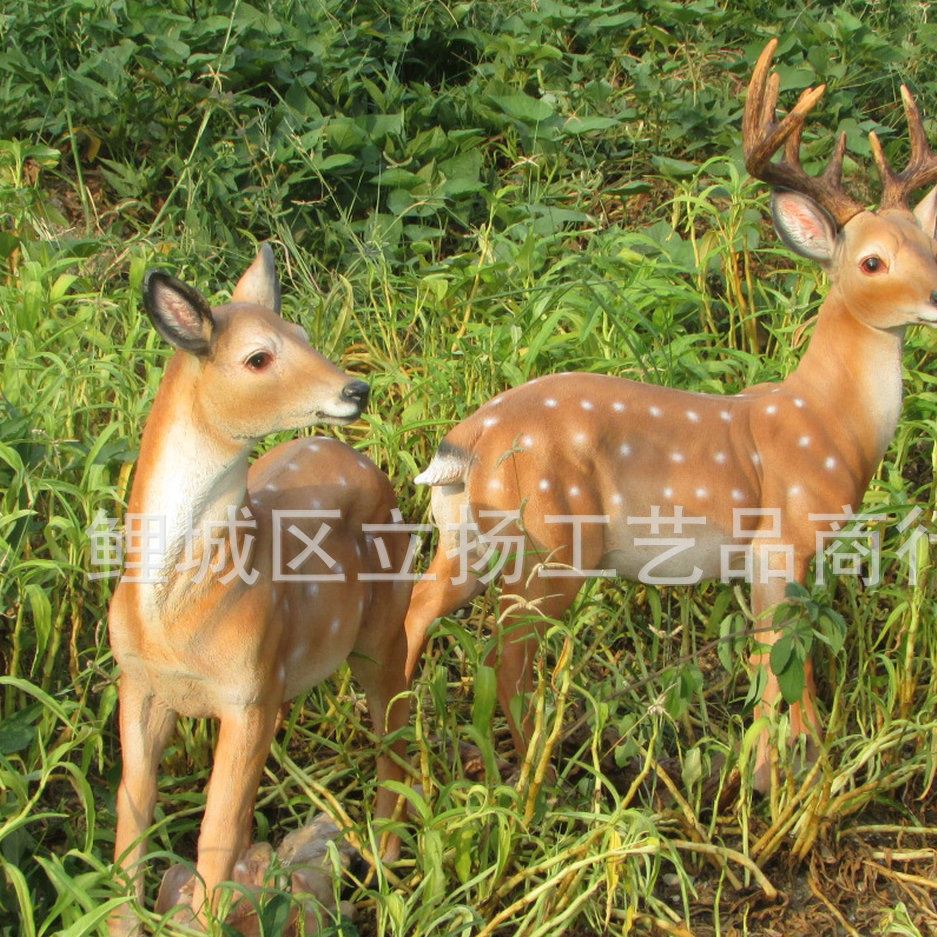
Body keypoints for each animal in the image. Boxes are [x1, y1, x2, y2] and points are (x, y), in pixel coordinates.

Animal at [106, 245, 410, 932]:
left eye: (303, 333)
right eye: (258, 358)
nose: (356, 388)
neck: (174, 621)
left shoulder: (246, 695)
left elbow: (217, 829)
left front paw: (207, 917)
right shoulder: (138, 682)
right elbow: (132, 812)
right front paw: (122, 919)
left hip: (384, 623)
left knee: (394, 723)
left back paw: (385, 860)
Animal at [404, 40, 936, 788]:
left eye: (931, 247)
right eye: (871, 261)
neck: (829, 423)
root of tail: (464, 443)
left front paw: (781, 767)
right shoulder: (780, 538)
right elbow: (781, 661)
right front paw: (777, 774)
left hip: (466, 539)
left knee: (417, 615)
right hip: (552, 543)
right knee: (503, 661)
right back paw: (544, 772)